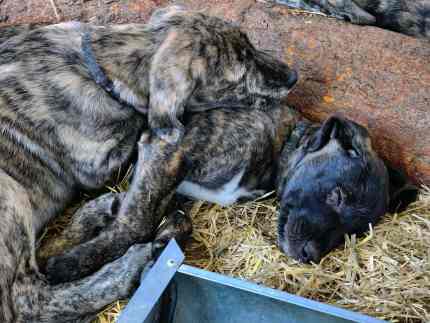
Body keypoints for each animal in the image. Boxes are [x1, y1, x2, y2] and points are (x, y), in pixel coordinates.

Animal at [0, 5, 298, 323]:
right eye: (240, 77)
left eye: (250, 45)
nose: (293, 77)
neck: (106, 63)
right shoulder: (95, 163)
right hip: (10, 196)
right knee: (30, 299)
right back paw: (127, 265)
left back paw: (101, 211)